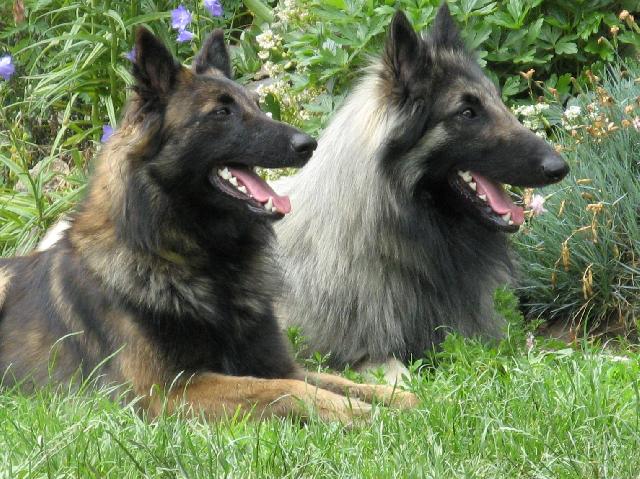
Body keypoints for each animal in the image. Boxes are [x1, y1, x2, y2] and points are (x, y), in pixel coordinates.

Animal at [0, 28, 417, 421]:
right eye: (221, 113)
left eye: (257, 105)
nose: (309, 144)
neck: (205, 260)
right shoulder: (167, 391)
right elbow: (282, 389)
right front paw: (352, 412)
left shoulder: (275, 363)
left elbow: (338, 381)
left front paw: (405, 399)